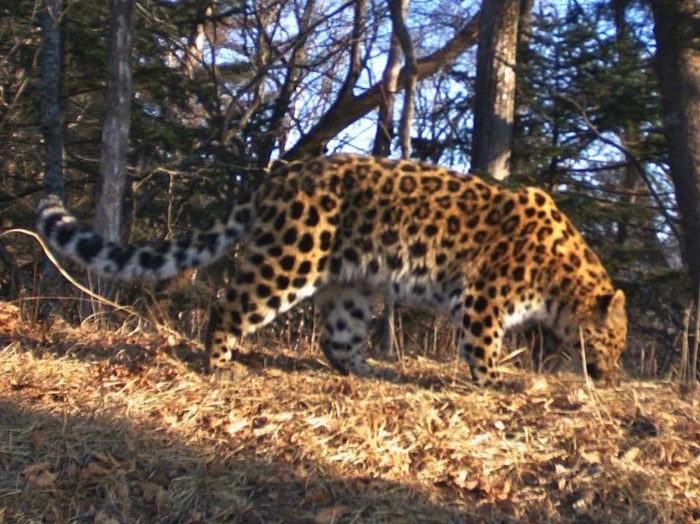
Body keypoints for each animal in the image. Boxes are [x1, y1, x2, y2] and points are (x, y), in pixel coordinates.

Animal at [37, 154, 628, 386]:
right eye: (613, 343)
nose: (613, 376)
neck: (564, 280)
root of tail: (281, 175)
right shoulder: (483, 298)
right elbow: (482, 347)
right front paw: (496, 384)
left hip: (351, 283)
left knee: (336, 338)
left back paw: (366, 371)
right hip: (290, 259)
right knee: (228, 305)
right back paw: (221, 364)